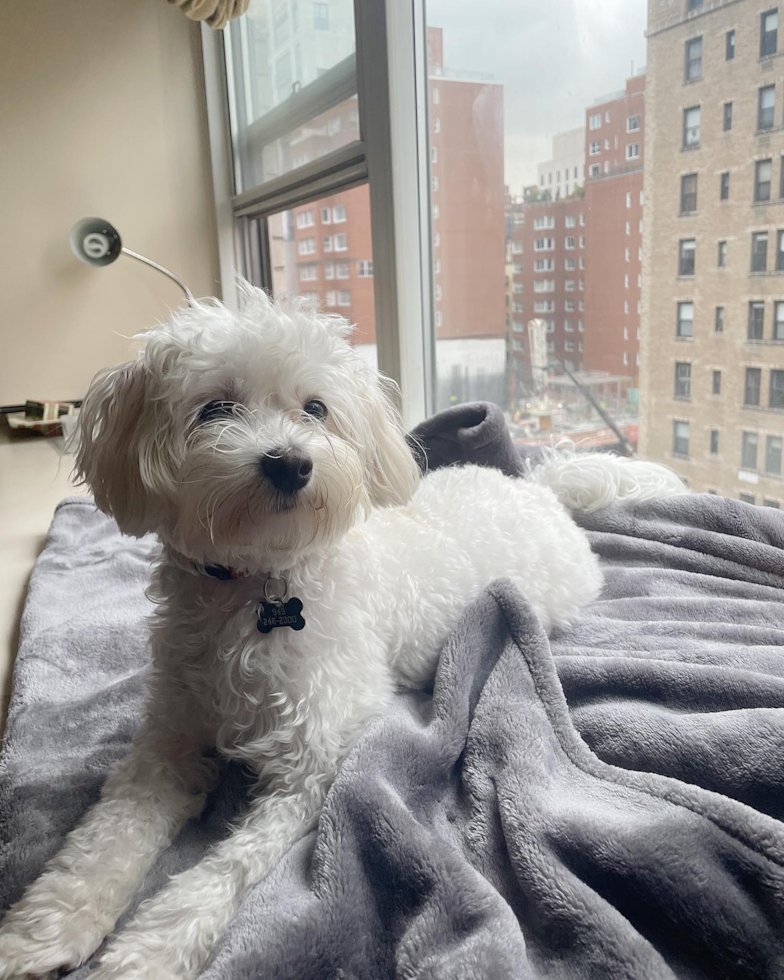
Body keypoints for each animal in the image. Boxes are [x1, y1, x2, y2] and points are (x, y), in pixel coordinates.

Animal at [0, 286, 688, 980]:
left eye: (315, 408)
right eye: (215, 408)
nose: (289, 463)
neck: (258, 584)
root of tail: (536, 487)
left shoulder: (310, 763)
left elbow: (224, 872)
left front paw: (147, 952)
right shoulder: (167, 743)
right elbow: (103, 840)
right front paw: (43, 932)